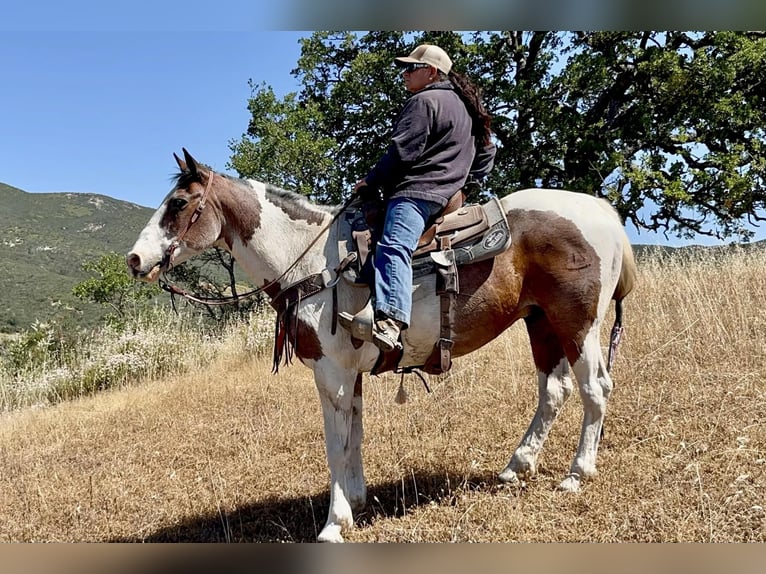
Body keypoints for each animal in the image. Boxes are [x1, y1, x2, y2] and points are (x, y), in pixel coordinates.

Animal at [127, 149, 637, 542]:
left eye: (178, 203)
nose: (134, 259)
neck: (314, 261)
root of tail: (603, 211)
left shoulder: (330, 372)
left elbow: (335, 443)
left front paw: (334, 523)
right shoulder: (348, 374)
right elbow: (354, 432)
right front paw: (355, 500)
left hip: (578, 326)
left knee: (595, 389)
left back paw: (576, 474)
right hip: (541, 324)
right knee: (554, 391)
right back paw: (517, 466)